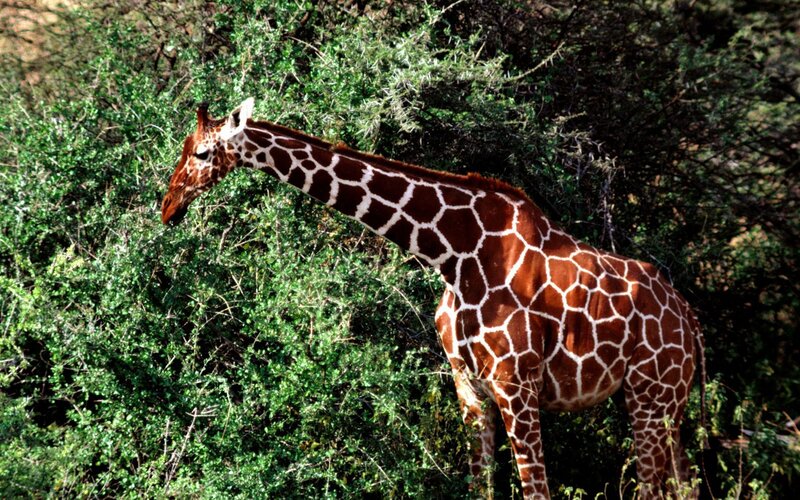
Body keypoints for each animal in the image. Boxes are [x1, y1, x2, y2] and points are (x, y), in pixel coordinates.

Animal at [161, 98, 706, 498]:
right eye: (185, 148)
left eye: (202, 154)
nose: (168, 207)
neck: (455, 254)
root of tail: (691, 321)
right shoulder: (469, 387)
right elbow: (481, 488)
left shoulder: (517, 385)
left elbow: (536, 491)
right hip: (668, 404)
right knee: (685, 485)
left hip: (650, 396)